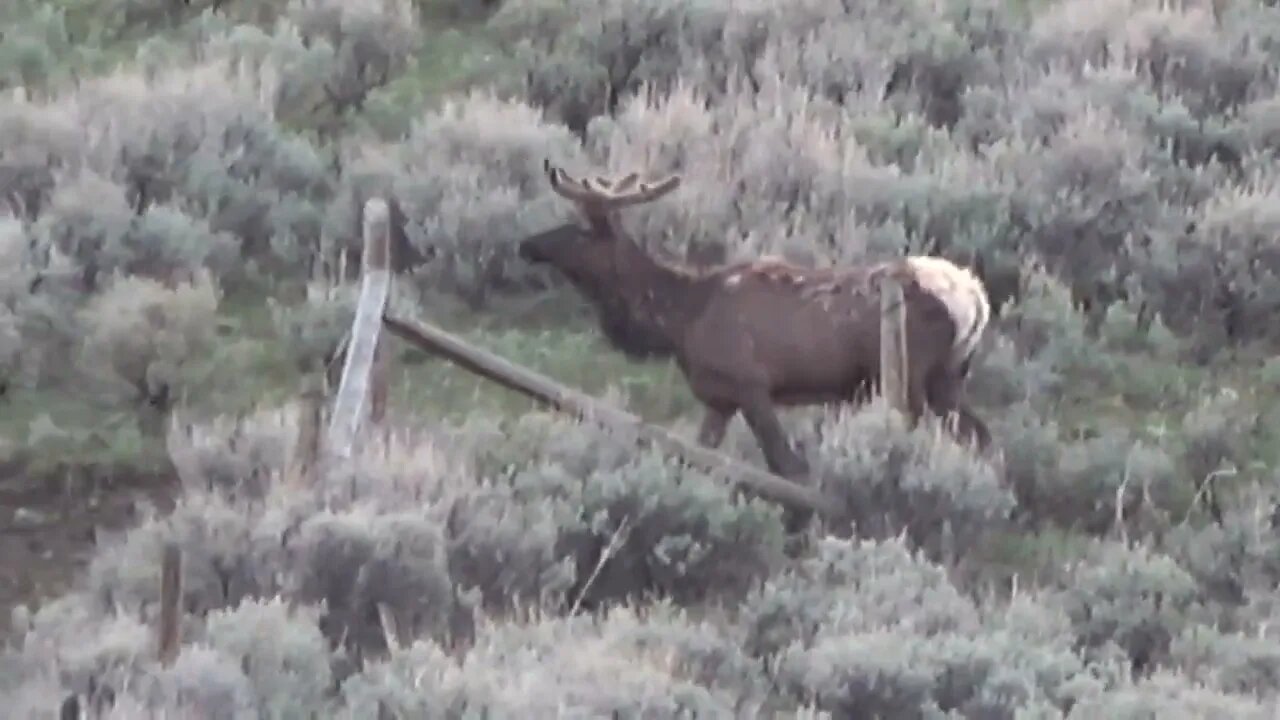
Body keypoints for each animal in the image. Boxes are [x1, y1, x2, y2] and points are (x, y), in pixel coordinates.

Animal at [517, 159, 988, 479]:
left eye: (579, 229)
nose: (527, 244)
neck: (680, 320)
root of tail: (975, 298)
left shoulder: (751, 384)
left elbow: (787, 466)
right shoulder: (719, 396)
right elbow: (700, 454)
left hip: (910, 375)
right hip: (948, 376)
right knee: (981, 436)